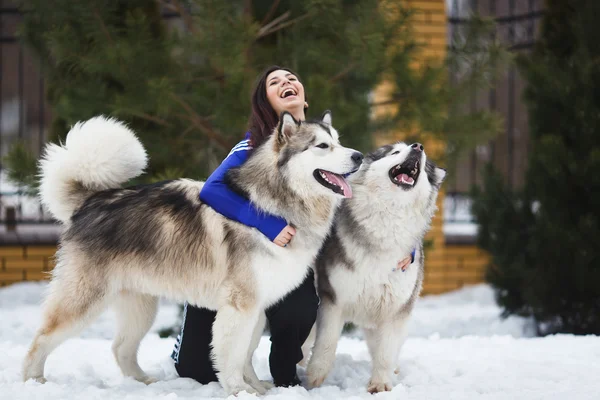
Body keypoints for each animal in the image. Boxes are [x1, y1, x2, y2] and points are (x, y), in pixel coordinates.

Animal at [22, 111, 360, 396]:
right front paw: (239, 390)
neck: (277, 205)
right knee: (40, 338)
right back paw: (32, 381)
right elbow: (233, 354)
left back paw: (143, 383)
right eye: (322, 146)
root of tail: (92, 201)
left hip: (140, 307)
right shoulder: (240, 305)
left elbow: (247, 352)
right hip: (84, 300)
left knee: (120, 348)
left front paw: (255, 387)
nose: (358, 156)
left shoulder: (256, 307)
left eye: (339, 141)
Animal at [304, 141, 446, 394]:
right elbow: (326, 345)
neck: (386, 226)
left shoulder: (395, 311)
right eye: (395, 152)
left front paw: (380, 385)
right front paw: (314, 380)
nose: (418, 146)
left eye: (425, 158)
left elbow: (385, 353)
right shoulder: (332, 301)